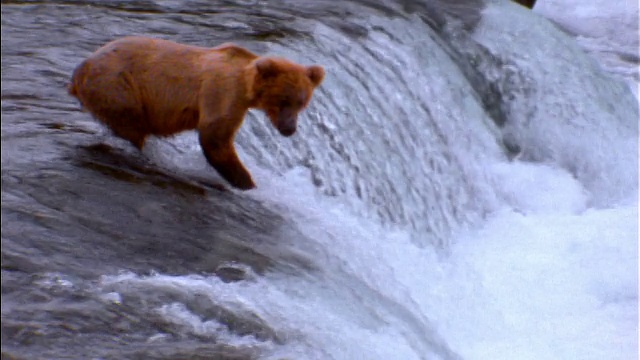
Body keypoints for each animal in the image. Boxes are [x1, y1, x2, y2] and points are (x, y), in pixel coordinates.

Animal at [69, 35, 324, 190]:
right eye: (283, 101)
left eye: (301, 103)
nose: (289, 129)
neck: (247, 88)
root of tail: (79, 72)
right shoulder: (221, 92)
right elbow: (215, 137)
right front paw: (246, 182)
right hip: (117, 87)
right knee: (131, 127)